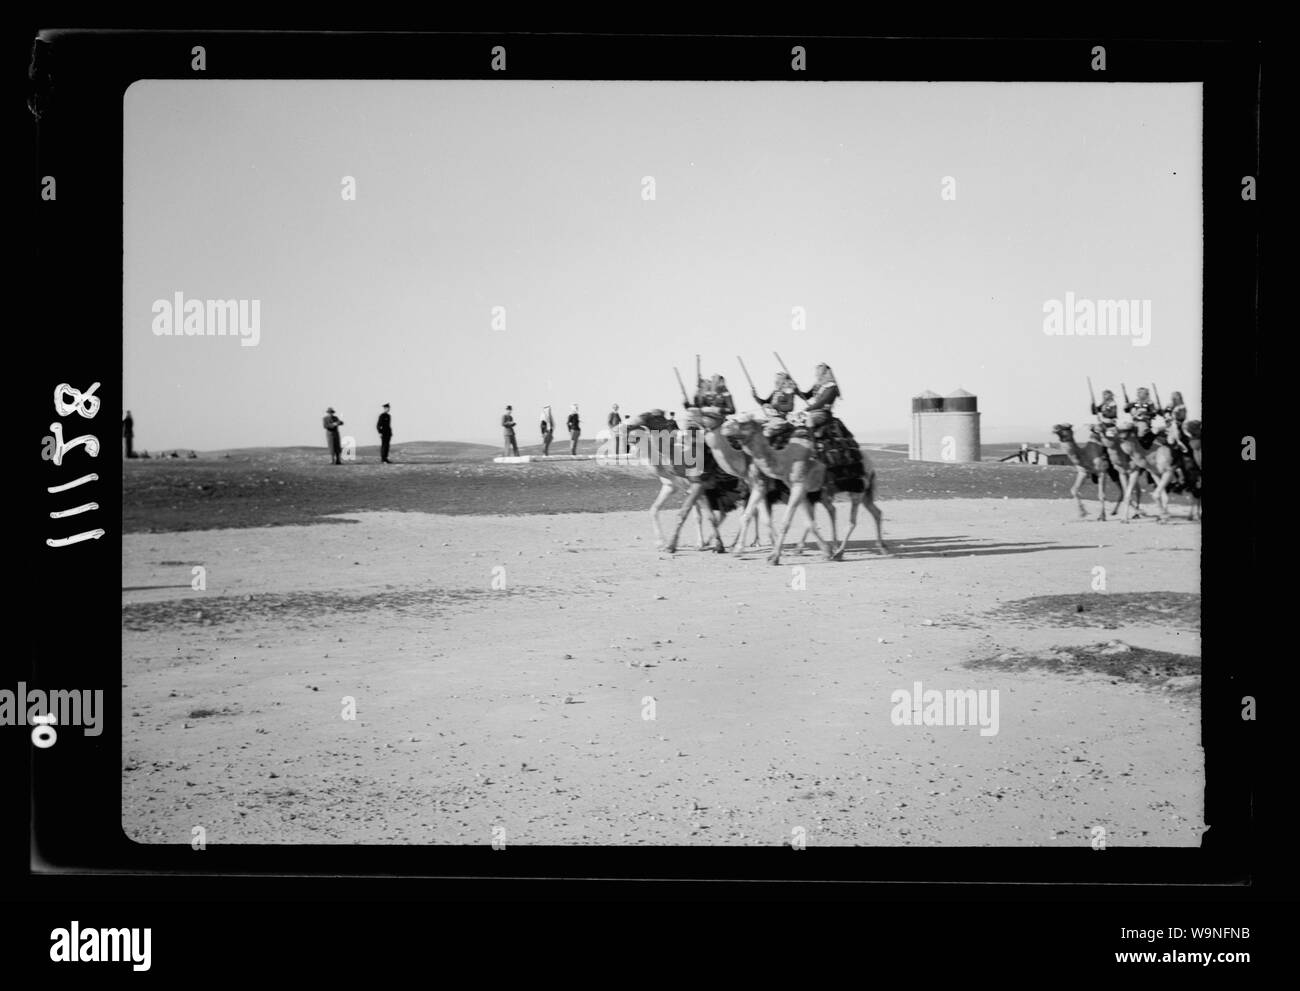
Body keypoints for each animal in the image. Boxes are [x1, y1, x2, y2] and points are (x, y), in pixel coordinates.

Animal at [717, 408, 889, 564]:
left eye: (743, 421)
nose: (725, 426)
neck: (785, 460)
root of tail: (870, 464)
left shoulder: (798, 485)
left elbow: (786, 522)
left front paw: (774, 557)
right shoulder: (801, 490)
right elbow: (809, 523)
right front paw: (825, 552)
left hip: (857, 487)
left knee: (852, 520)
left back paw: (840, 552)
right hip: (862, 490)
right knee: (874, 511)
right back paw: (880, 547)